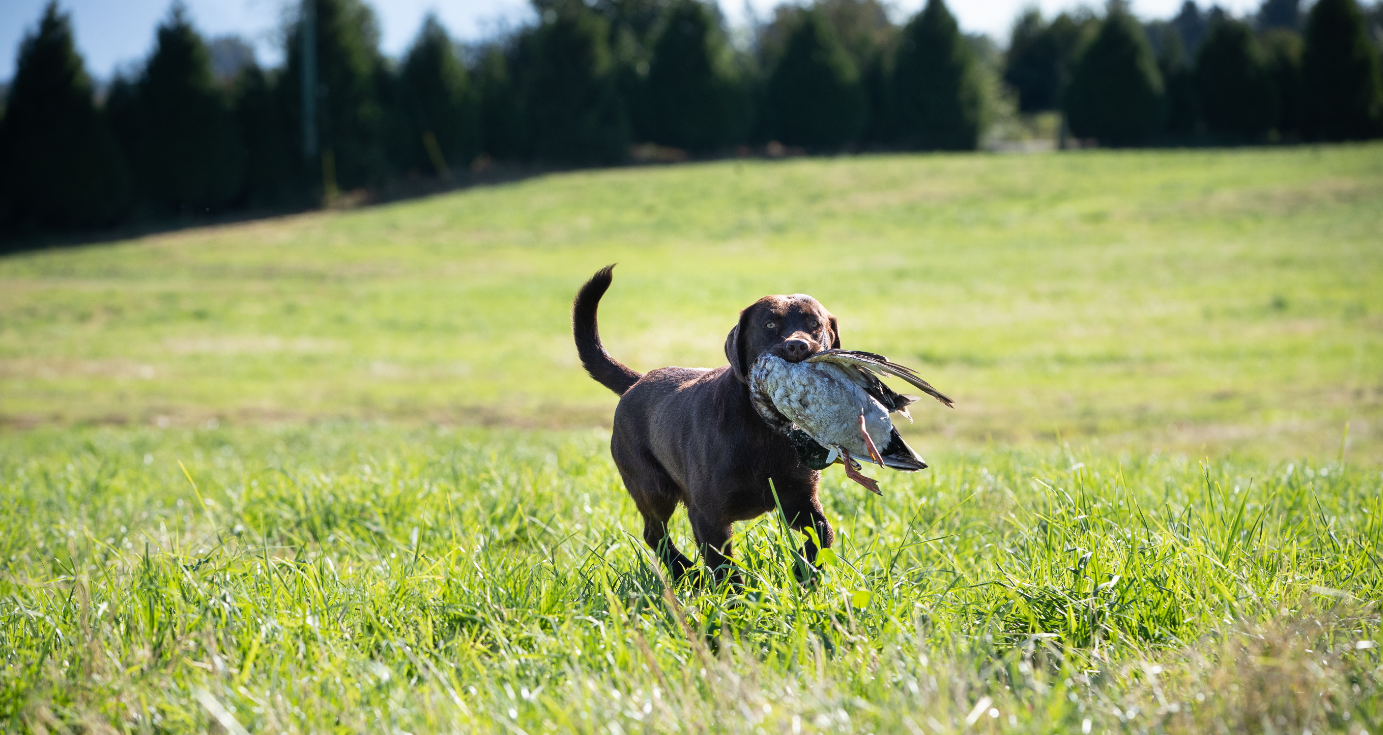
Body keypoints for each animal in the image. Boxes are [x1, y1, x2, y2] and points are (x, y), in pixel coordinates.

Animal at [569, 267, 835, 584]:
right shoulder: (707, 516)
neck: (763, 432)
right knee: (654, 533)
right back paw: (687, 572)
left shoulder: (799, 499)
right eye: (769, 324)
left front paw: (804, 572)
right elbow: (724, 569)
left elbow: (824, 532)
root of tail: (636, 381)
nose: (798, 346)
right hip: (652, 488)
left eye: (815, 324)